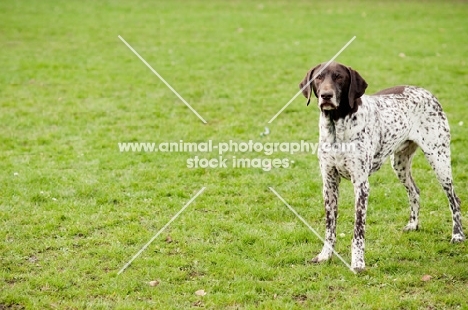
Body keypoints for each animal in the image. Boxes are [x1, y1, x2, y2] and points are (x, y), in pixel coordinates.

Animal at [300, 61, 464, 272]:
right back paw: (413, 224)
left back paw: (457, 235)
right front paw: (325, 255)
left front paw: (358, 262)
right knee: (415, 191)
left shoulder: (361, 185)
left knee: (454, 199)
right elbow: (330, 227)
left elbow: (358, 230)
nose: (326, 95)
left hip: (439, 159)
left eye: (339, 77)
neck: (337, 126)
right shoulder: (329, 184)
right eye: (319, 77)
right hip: (400, 164)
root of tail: (427, 92)